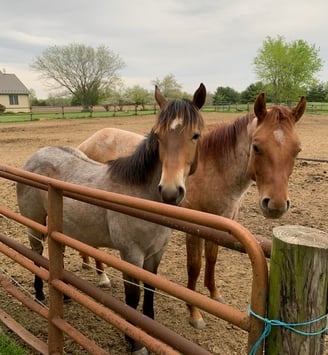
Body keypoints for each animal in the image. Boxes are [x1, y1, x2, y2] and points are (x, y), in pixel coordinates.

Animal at [16, 83, 206, 354]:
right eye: (158, 136)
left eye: (195, 135)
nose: (170, 191)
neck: (140, 195)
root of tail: (35, 156)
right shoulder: (131, 255)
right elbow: (133, 297)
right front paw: (135, 342)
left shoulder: (156, 254)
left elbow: (150, 291)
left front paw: (148, 331)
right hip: (35, 224)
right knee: (37, 254)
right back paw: (41, 296)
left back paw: (63, 295)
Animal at [75, 93, 306, 330]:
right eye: (257, 147)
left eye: (297, 150)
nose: (276, 205)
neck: (213, 170)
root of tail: (89, 141)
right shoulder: (193, 230)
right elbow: (194, 266)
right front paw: (194, 312)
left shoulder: (220, 226)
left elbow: (212, 258)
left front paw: (214, 293)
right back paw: (102, 276)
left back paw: (88, 263)